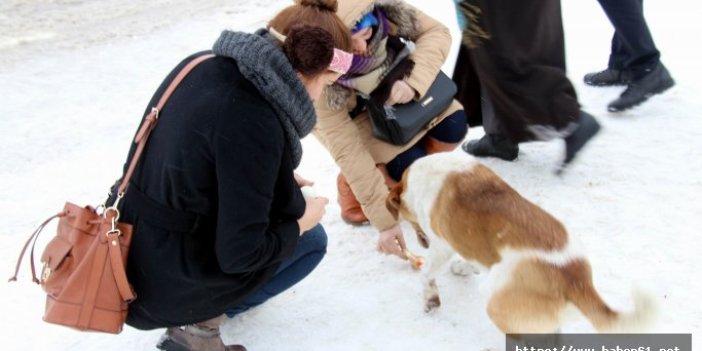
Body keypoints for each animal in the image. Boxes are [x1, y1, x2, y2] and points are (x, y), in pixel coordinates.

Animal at [384, 153, 660, 334]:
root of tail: (577, 281)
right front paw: (463, 268)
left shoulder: (443, 246)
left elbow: (427, 275)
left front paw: (431, 299)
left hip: (497, 303)